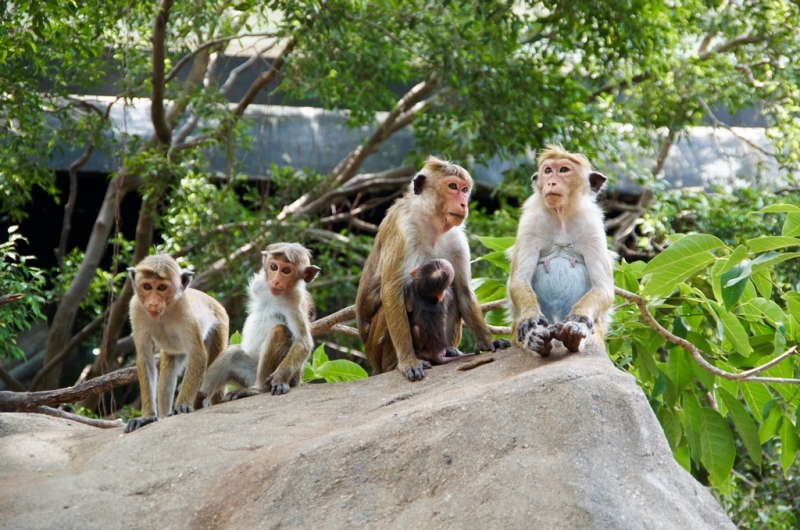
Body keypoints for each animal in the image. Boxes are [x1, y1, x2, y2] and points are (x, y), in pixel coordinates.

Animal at [125, 254, 230, 432]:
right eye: (147, 286)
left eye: (162, 287)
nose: (153, 303)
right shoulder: (136, 309)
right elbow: (145, 359)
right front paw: (147, 417)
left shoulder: (185, 310)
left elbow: (198, 353)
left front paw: (182, 405)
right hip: (174, 351)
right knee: (168, 374)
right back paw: (164, 414)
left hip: (220, 324)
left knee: (216, 365)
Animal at [198, 239, 320, 400]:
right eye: (274, 267)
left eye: (286, 271)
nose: (275, 281)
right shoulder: (260, 284)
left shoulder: (295, 301)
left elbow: (303, 342)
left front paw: (279, 378)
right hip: (248, 374)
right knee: (232, 355)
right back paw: (198, 398)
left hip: (288, 377)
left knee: (279, 331)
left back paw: (258, 389)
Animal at [354, 154, 510, 380]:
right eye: (452, 186)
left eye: (464, 189)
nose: (463, 203)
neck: (430, 222)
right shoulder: (403, 229)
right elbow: (392, 292)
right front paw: (408, 361)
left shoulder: (457, 239)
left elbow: (463, 290)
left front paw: (488, 341)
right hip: (375, 351)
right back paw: (398, 363)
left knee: (450, 292)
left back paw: (449, 350)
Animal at [506, 143, 612, 354]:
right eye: (548, 171)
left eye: (563, 170)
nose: (551, 182)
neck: (561, 215)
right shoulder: (530, 222)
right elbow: (519, 280)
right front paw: (530, 319)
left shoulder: (593, 226)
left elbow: (603, 287)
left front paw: (579, 318)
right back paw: (537, 339)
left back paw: (573, 335)